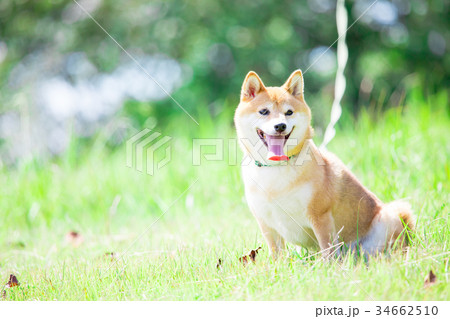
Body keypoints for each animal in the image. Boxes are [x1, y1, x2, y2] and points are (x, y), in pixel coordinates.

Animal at [236, 70, 414, 258]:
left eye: (289, 112)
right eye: (264, 111)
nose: (280, 126)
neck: (275, 170)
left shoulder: (320, 216)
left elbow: (327, 250)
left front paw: (329, 265)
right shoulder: (266, 223)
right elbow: (277, 255)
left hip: (394, 213)